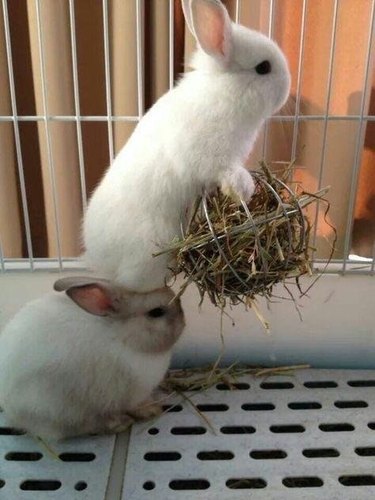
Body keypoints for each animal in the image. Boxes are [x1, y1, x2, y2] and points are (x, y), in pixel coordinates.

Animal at [0, 276, 185, 440]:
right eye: (156, 312)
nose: (183, 322)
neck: (123, 337)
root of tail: (11, 411)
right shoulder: (135, 395)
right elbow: (138, 405)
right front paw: (153, 410)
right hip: (59, 409)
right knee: (79, 427)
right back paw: (119, 423)